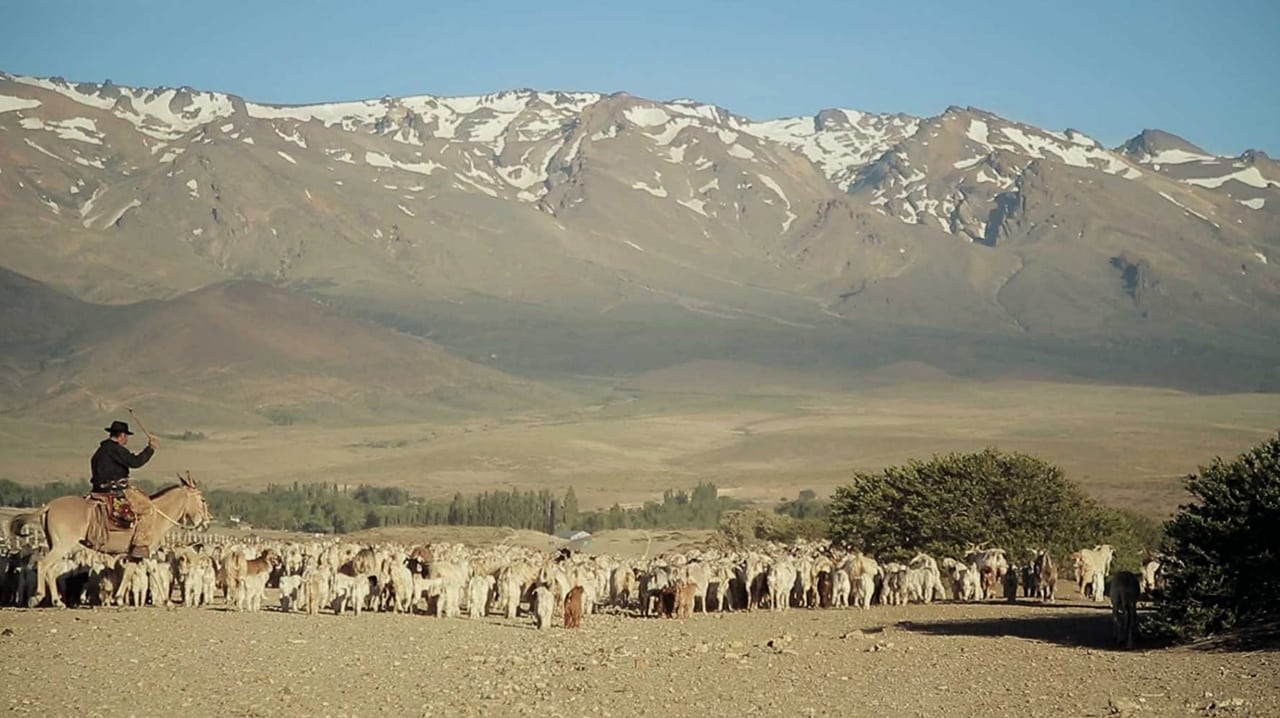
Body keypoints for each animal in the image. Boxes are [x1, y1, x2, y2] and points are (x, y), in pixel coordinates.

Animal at [21, 473, 209, 606]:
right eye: (202, 499)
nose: (207, 522)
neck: (157, 515)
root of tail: (49, 506)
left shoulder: (137, 553)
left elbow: (129, 571)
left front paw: (118, 598)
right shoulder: (147, 550)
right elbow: (154, 572)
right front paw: (167, 602)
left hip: (55, 545)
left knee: (50, 570)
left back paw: (56, 601)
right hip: (62, 546)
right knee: (43, 565)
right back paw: (39, 597)